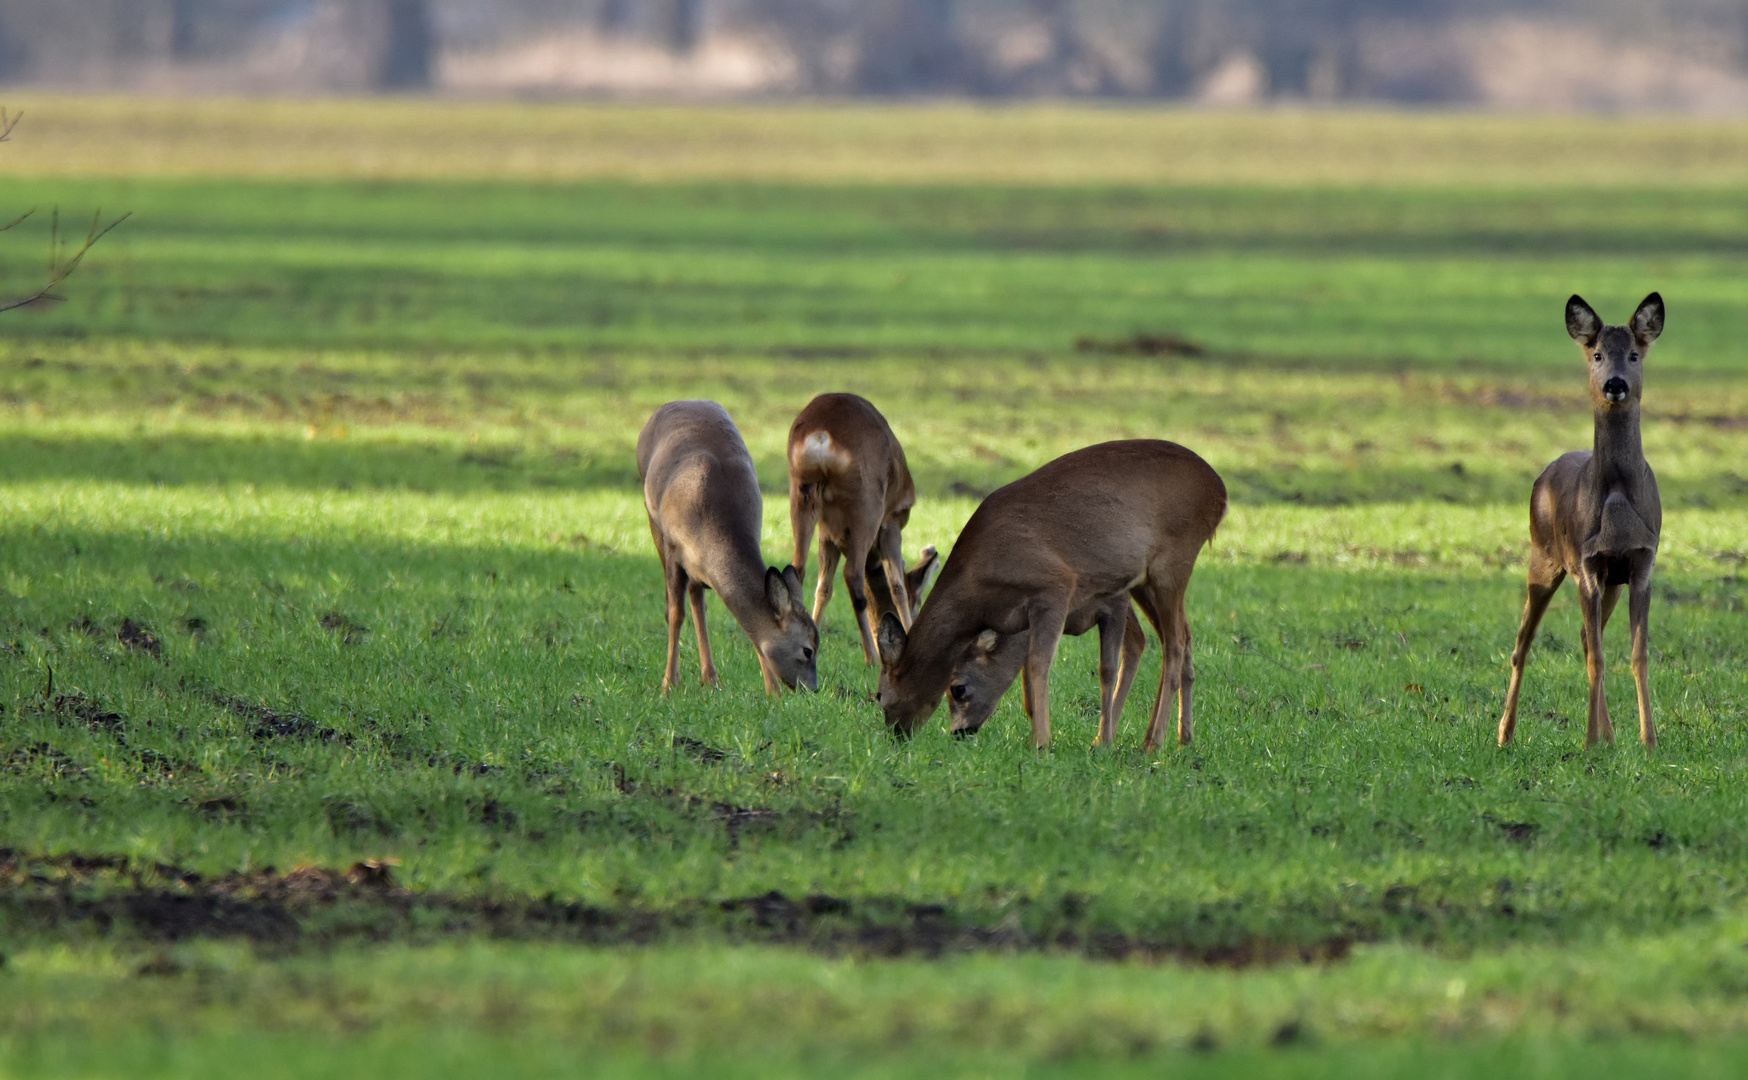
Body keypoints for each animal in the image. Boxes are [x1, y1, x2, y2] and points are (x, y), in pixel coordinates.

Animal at [636, 400, 818, 695]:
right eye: (807, 650)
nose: (813, 688)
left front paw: (773, 692)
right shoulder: (674, 549)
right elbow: (676, 614)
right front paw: (668, 684)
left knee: (698, 600)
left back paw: (710, 677)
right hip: (651, 513)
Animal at [786, 393, 936, 660]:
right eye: (918, 603)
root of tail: (821, 436)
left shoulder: (827, 532)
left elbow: (824, 588)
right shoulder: (892, 522)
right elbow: (897, 587)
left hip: (802, 494)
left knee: (798, 568)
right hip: (867, 504)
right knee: (852, 574)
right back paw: (871, 657)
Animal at [1496, 293, 1671, 747]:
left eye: (1633, 354)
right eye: (1596, 355)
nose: (1615, 383)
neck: (1617, 500)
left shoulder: (1641, 562)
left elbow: (1637, 654)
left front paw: (1647, 740)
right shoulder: (1588, 564)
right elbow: (1597, 657)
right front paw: (1590, 741)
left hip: (1610, 581)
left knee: (1584, 636)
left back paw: (1609, 735)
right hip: (1543, 555)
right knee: (1523, 642)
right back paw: (1505, 732)